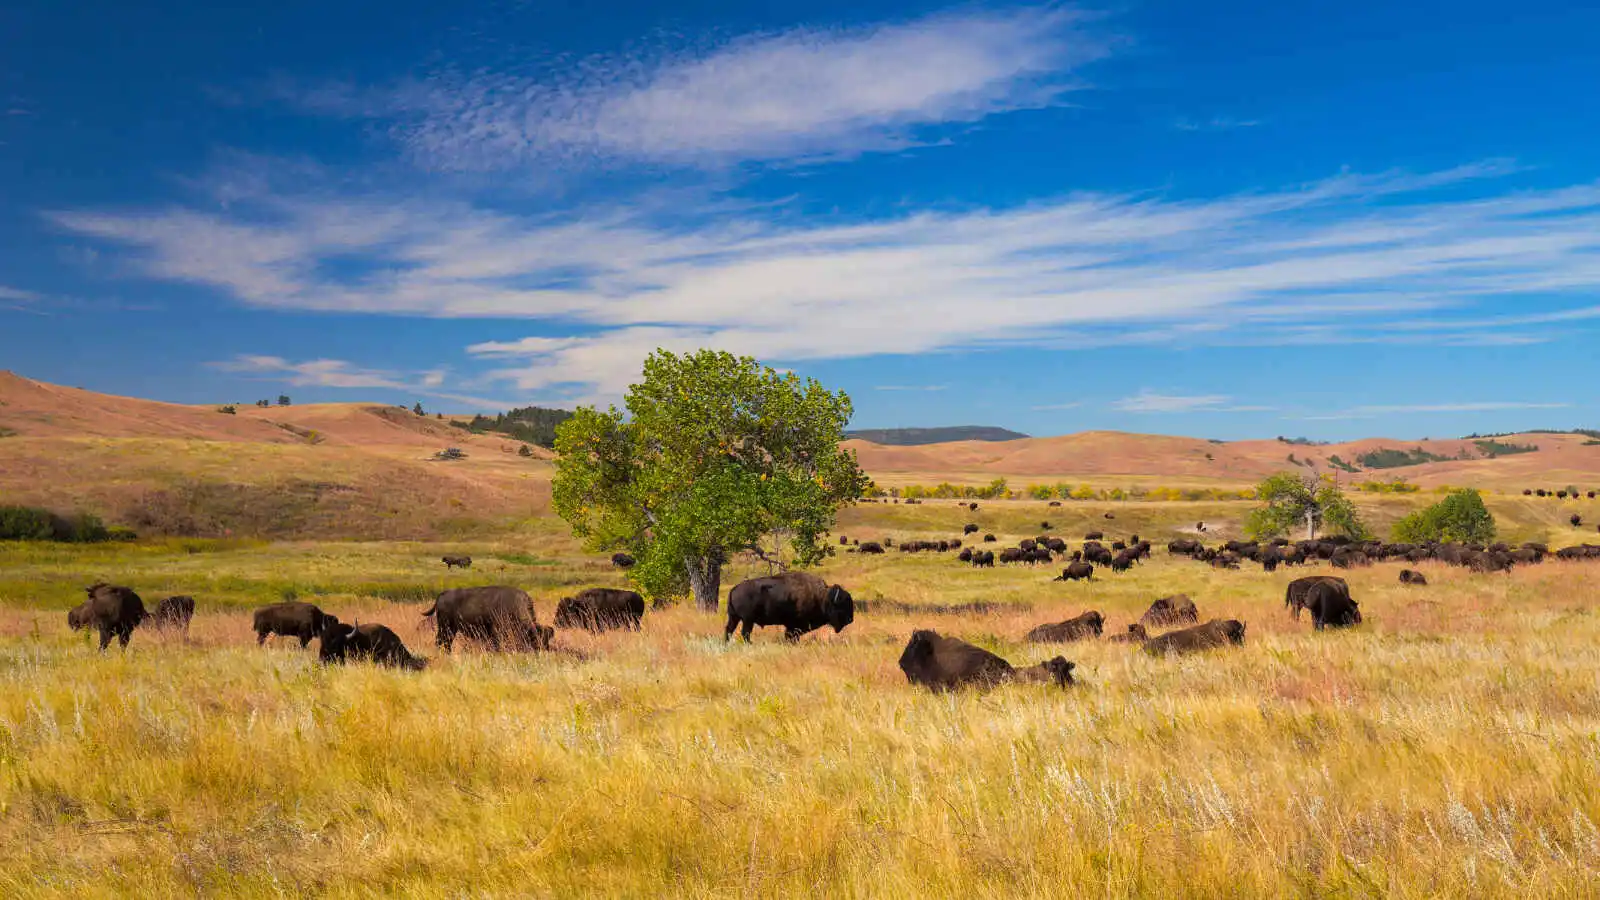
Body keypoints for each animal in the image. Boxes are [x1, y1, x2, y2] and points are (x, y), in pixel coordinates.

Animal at [422, 586, 553, 646]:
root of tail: (442, 594)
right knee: (441, 642)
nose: (543, 650)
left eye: (547, 640)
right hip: (445, 628)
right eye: (534, 639)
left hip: (451, 630)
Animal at [723, 570, 851, 640]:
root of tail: (734, 589)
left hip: (734, 618)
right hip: (747, 620)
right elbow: (791, 636)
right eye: (841, 606)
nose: (850, 619)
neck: (821, 597)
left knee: (729, 630)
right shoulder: (794, 625)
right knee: (745, 633)